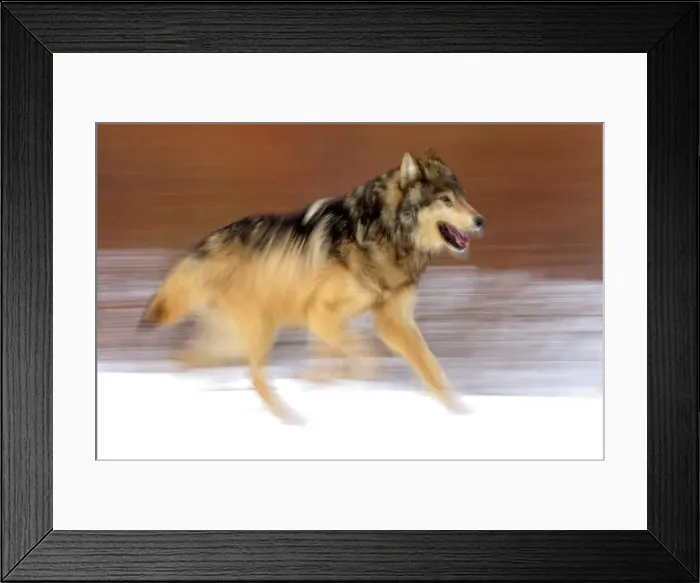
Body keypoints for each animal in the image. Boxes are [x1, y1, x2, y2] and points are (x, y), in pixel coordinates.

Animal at [140, 149, 486, 420]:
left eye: (463, 198)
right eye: (446, 200)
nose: (481, 220)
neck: (385, 234)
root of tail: (204, 244)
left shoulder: (391, 321)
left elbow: (433, 372)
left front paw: (463, 414)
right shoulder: (320, 314)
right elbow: (364, 358)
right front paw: (349, 382)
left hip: (229, 341)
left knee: (186, 361)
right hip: (258, 331)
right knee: (254, 377)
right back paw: (293, 419)